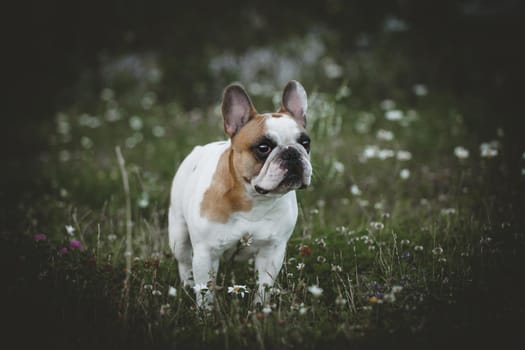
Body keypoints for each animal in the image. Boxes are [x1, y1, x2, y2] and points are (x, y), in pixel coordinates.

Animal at [168, 81, 310, 306]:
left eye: (306, 143)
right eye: (263, 147)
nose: (292, 153)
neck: (253, 200)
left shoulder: (272, 251)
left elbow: (263, 288)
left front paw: (260, 309)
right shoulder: (205, 253)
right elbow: (206, 292)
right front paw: (205, 312)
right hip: (178, 235)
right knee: (184, 263)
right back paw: (187, 288)